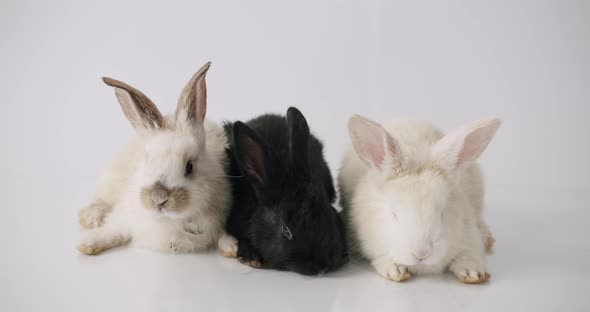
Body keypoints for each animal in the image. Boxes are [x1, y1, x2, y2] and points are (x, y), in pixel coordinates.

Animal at [77, 62, 236, 255]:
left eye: (189, 166)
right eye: (147, 161)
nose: (159, 198)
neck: (169, 220)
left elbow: (223, 234)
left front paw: (232, 248)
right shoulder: (126, 214)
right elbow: (114, 230)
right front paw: (87, 244)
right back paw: (90, 217)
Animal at [340, 116, 502, 284]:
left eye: (442, 213)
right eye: (394, 214)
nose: (421, 253)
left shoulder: (468, 231)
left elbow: (469, 253)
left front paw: (473, 273)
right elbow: (381, 256)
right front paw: (395, 270)